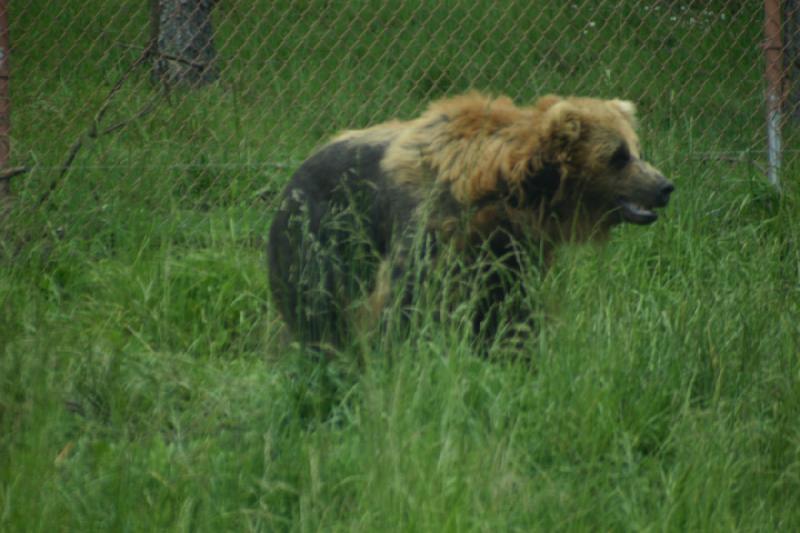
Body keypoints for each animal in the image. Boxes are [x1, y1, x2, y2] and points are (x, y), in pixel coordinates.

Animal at [266, 92, 672, 350]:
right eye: (618, 156)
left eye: (638, 149)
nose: (664, 186)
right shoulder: (428, 223)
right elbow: (405, 298)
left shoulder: (508, 248)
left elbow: (509, 305)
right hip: (323, 227)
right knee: (317, 297)